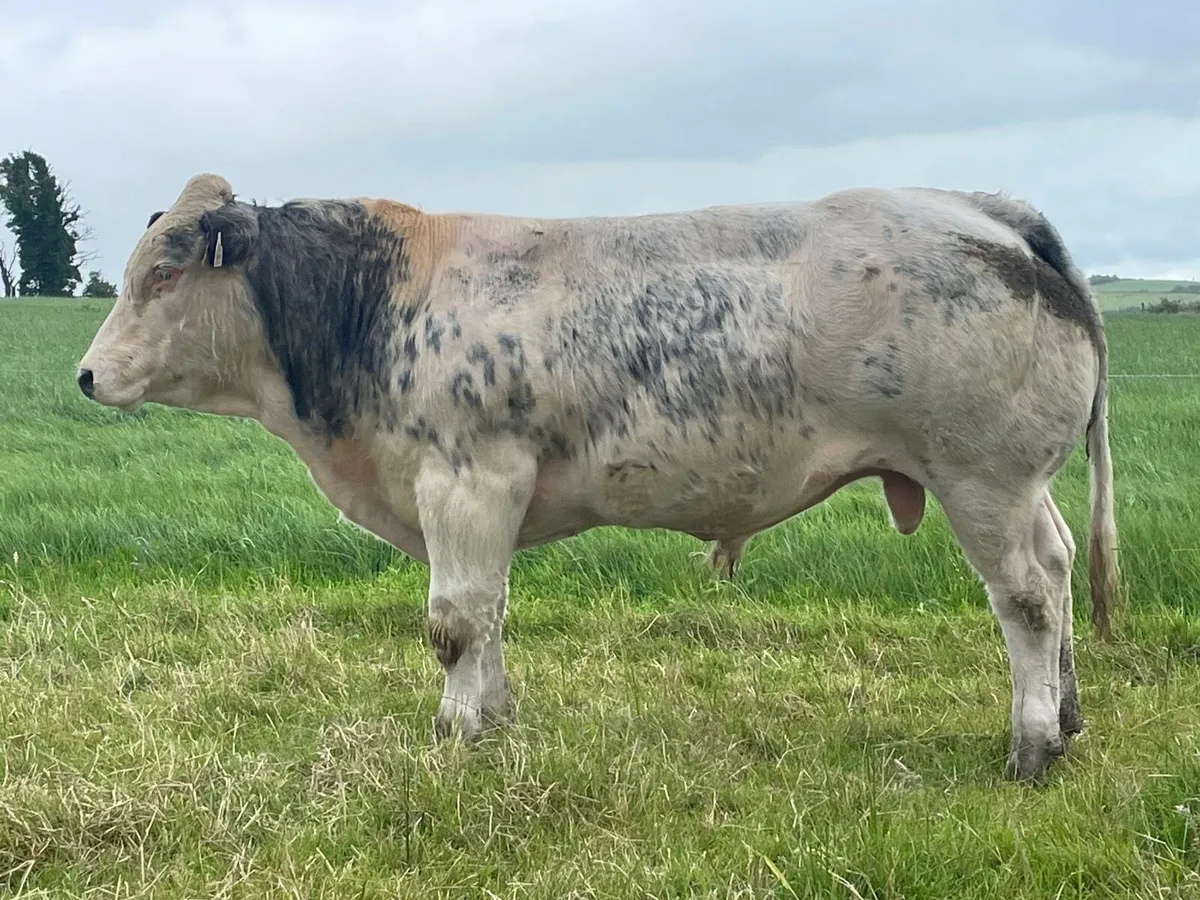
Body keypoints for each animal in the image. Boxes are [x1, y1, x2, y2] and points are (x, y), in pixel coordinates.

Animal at [77, 173, 1120, 784]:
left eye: (164, 274)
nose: (87, 375)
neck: (379, 303)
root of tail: (988, 212)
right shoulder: (481, 503)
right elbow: (491, 612)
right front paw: (494, 720)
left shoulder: (466, 479)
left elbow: (455, 621)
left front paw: (455, 732)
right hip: (1023, 487)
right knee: (1062, 565)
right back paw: (1069, 716)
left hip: (982, 478)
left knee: (1027, 598)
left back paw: (1032, 744)